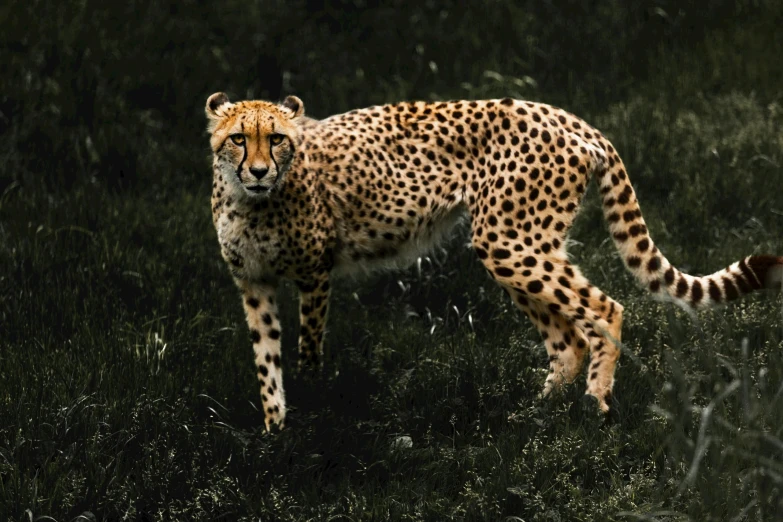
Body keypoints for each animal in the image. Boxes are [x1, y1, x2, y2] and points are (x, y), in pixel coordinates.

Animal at [205, 91, 780, 428]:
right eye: (238, 139)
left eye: (277, 139)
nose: (259, 170)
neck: (252, 201)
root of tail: (560, 113)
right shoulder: (252, 284)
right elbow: (266, 361)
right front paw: (275, 433)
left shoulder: (315, 273)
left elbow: (307, 350)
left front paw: (310, 406)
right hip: (519, 244)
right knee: (567, 340)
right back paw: (538, 413)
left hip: (509, 240)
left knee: (606, 308)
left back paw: (596, 398)